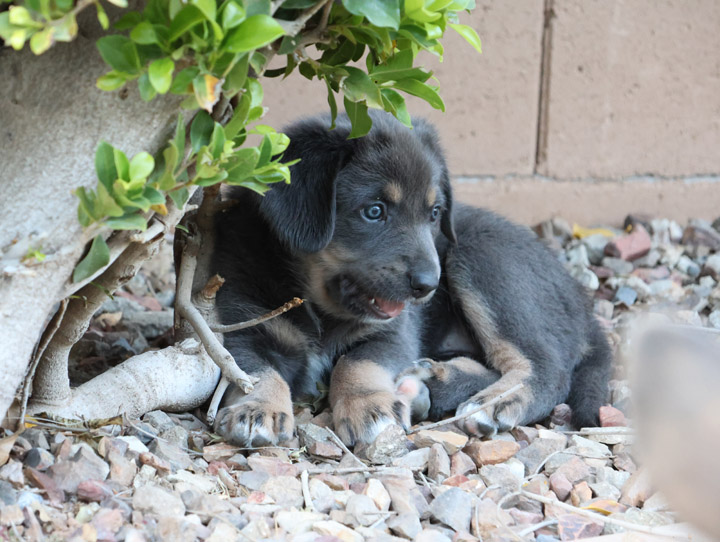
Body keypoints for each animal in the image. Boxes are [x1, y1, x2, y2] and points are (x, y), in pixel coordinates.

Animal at [211, 110, 612, 446]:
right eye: (374, 211)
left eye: (434, 213)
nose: (429, 286)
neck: (320, 307)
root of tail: (581, 301)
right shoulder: (241, 326)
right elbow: (253, 371)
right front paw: (258, 409)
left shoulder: (393, 333)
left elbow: (357, 363)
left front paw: (370, 406)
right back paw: (435, 382)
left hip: (483, 257)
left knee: (547, 368)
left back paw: (489, 404)